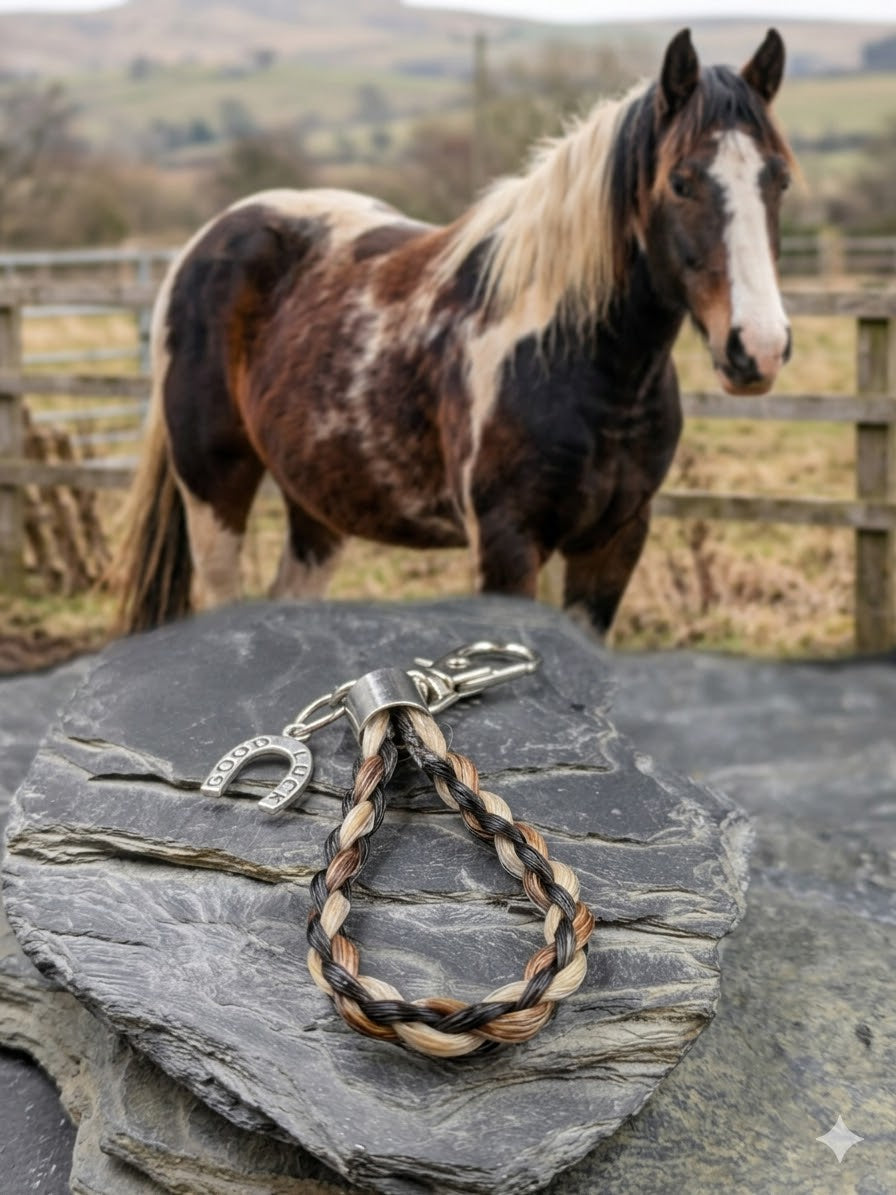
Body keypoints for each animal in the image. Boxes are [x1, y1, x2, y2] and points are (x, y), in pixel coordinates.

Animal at [115, 28, 793, 637]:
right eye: (681, 181)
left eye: (779, 179)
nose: (757, 347)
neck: (575, 358)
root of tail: (209, 239)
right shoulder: (506, 541)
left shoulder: (612, 542)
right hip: (213, 488)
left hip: (317, 500)